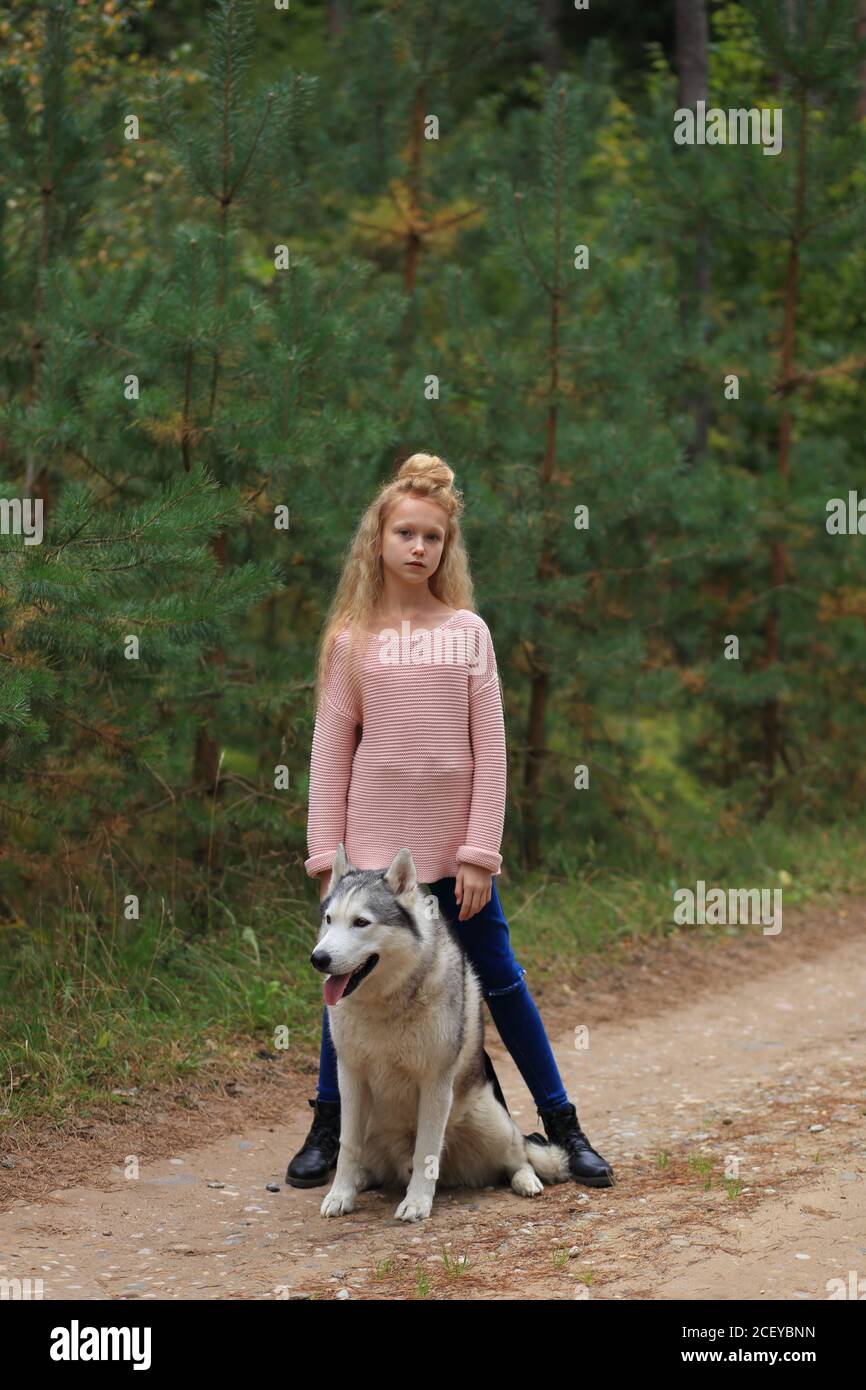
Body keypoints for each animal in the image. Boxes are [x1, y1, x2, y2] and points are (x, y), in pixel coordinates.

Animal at [308, 839, 572, 1223]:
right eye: (330, 920)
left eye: (361, 922)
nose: (319, 959)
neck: (387, 1002)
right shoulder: (351, 1077)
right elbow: (347, 1147)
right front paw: (340, 1195)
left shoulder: (434, 1082)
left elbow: (426, 1150)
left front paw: (417, 1202)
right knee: (371, 1166)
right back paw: (360, 1180)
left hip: (491, 1121)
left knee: (518, 1158)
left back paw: (526, 1181)